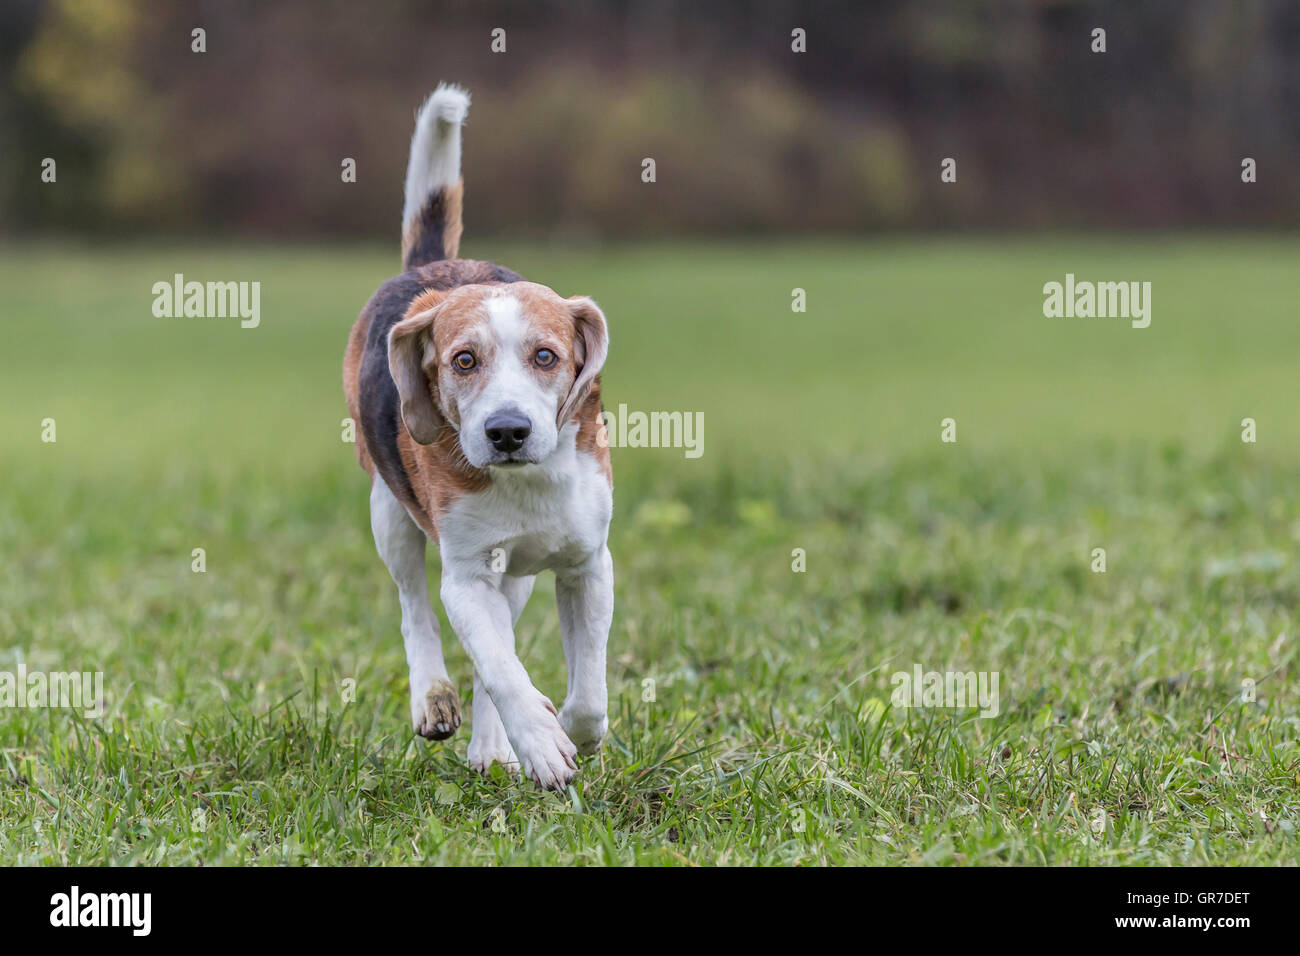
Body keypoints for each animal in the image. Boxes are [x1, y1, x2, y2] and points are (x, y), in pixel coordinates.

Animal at [343, 82, 611, 790]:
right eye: (463, 360)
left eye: (546, 356)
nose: (507, 431)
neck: (527, 480)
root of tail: (439, 265)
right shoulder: (465, 579)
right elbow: (498, 666)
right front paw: (542, 742)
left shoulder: (588, 566)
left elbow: (588, 694)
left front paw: (567, 729)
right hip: (388, 511)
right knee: (417, 610)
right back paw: (434, 699)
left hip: (515, 576)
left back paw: (493, 745)